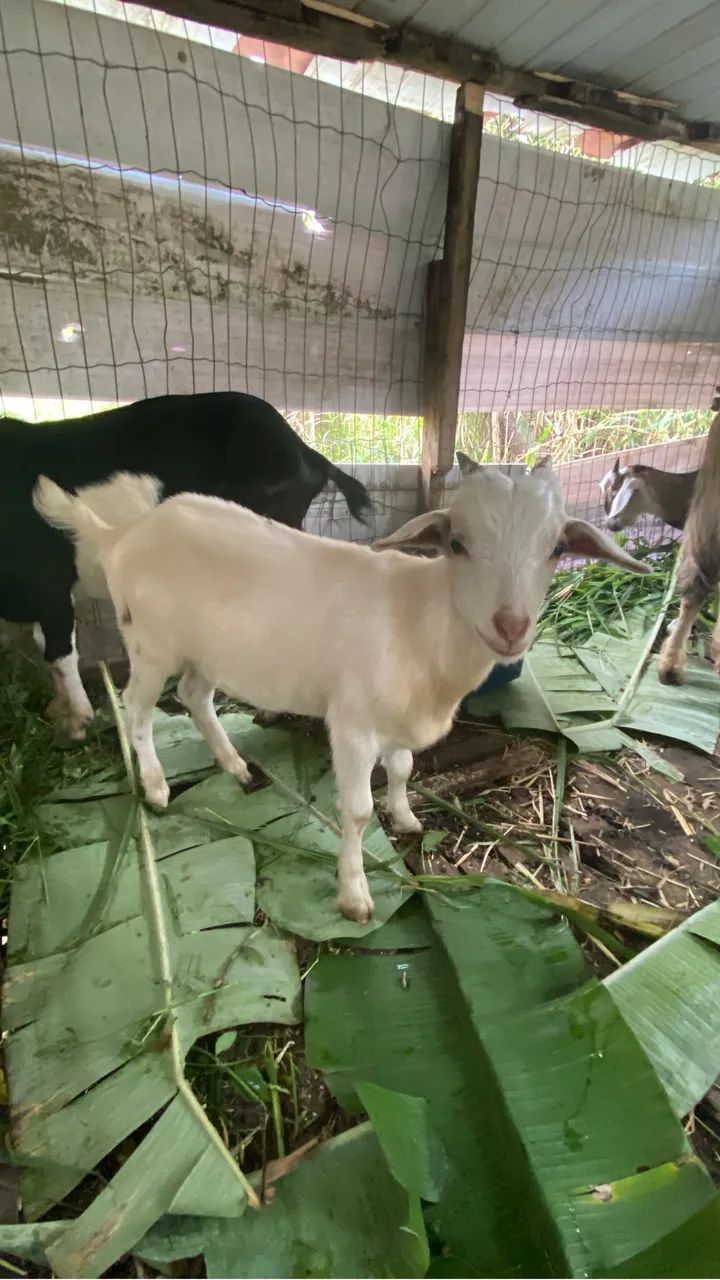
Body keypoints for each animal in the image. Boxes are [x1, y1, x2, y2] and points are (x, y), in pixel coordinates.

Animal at [1, 391, 370, 738]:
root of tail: (305, 451)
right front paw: (57, 710)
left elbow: (59, 651)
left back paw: (268, 711)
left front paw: (78, 721)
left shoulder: (49, 586)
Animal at [35, 455, 648, 923]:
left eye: (557, 548)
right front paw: (354, 895)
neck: (420, 620)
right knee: (137, 711)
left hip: (209, 650)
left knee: (194, 696)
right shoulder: (352, 723)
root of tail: (121, 534)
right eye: (456, 543)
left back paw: (235, 765)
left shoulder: (398, 714)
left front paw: (405, 817)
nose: (511, 626)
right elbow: (355, 811)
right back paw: (157, 786)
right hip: (149, 643)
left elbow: (402, 769)